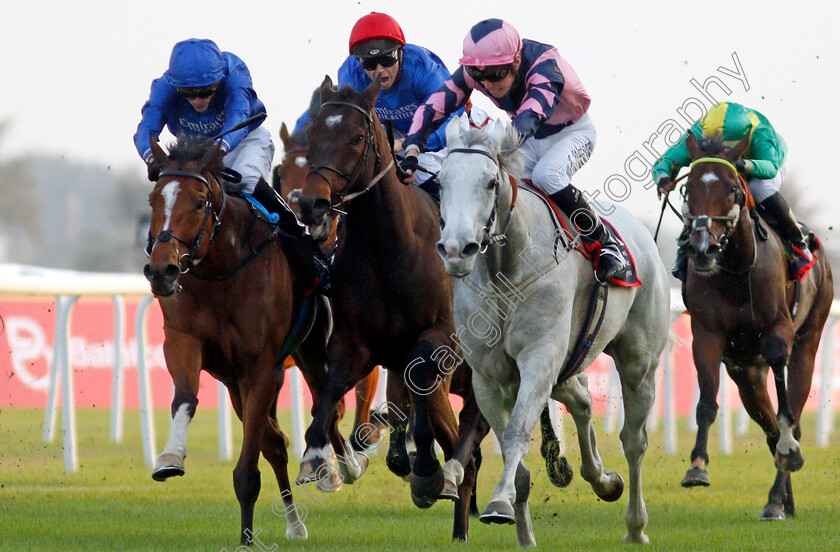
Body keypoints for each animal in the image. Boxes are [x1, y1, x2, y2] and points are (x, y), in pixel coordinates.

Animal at [144, 135, 342, 544]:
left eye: (199, 201)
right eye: (154, 199)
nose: (161, 270)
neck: (221, 270)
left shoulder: (261, 368)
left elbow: (248, 473)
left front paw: (246, 542)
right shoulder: (185, 340)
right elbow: (185, 397)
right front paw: (169, 457)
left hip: (312, 354)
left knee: (327, 407)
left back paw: (328, 469)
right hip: (235, 385)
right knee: (276, 443)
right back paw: (296, 523)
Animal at [296, 77, 488, 540]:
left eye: (356, 137)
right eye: (311, 133)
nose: (312, 204)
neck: (390, 249)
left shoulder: (443, 338)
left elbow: (420, 375)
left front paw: (426, 469)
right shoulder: (355, 343)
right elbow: (329, 389)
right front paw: (317, 457)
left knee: (470, 438)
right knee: (465, 448)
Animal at [436, 118, 672, 544]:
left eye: (490, 182)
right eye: (441, 181)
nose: (457, 250)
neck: (505, 271)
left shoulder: (539, 359)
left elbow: (516, 433)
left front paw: (499, 504)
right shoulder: (488, 377)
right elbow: (512, 447)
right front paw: (523, 534)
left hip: (639, 363)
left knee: (634, 441)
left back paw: (635, 526)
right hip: (569, 365)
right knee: (582, 400)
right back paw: (603, 479)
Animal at [684, 132, 832, 520]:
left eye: (732, 189)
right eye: (688, 188)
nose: (702, 250)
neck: (737, 270)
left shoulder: (779, 328)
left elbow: (786, 411)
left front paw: (791, 451)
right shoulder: (707, 335)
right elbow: (707, 401)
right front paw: (697, 466)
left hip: (810, 340)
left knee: (792, 415)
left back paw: (781, 488)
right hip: (746, 372)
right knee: (766, 427)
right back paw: (781, 500)